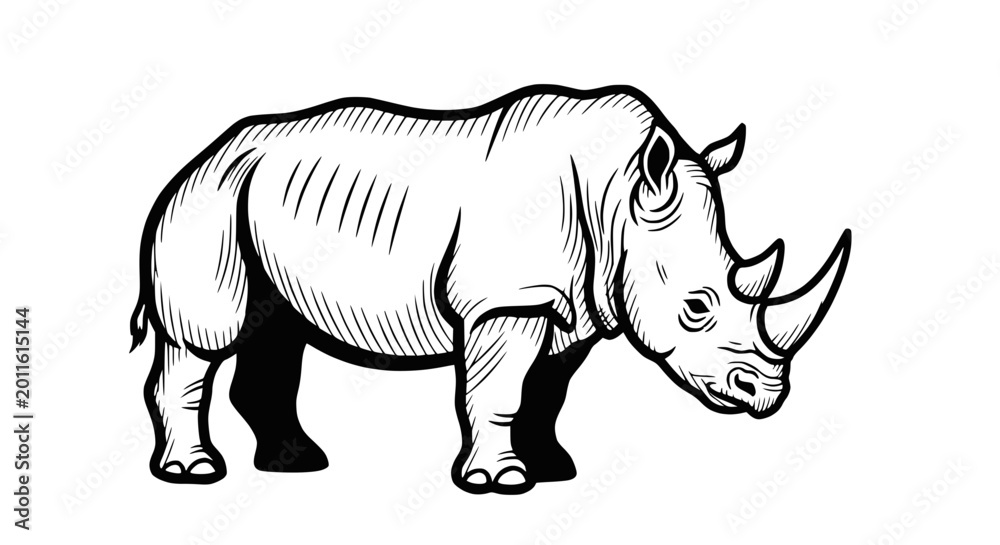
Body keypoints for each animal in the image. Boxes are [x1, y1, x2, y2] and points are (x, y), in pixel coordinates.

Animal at [131, 84, 850, 494]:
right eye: (697, 307)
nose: (768, 396)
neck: (618, 196)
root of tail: (195, 160)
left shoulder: (573, 304)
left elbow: (547, 392)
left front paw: (554, 468)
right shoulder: (509, 298)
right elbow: (501, 390)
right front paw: (499, 482)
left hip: (250, 201)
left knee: (277, 327)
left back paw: (298, 465)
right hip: (208, 204)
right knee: (204, 339)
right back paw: (194, 472)